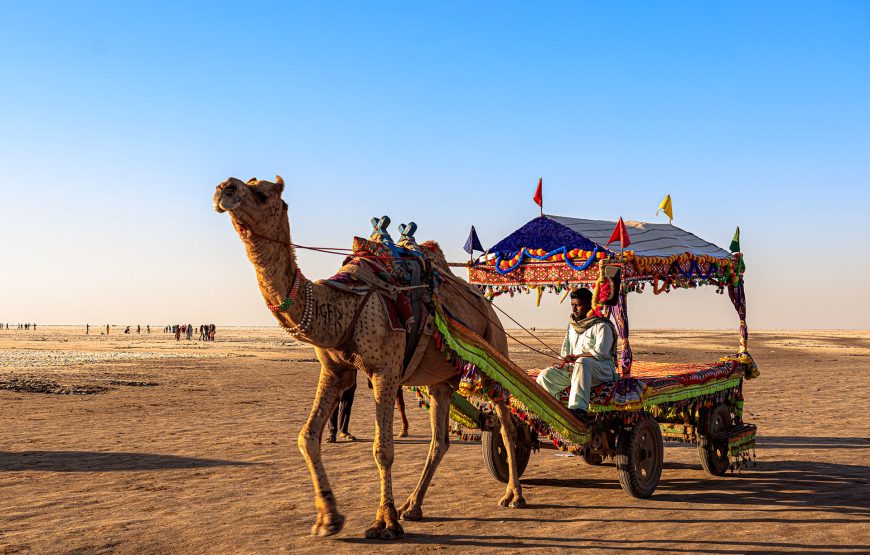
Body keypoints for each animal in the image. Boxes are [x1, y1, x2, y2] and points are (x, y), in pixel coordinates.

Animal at [213, 177, 524, 540]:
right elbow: (307, 436)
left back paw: (513, 495)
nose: (224, 188)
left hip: (493, 351)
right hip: (442, 381)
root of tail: (488, 304)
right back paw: (413, 506)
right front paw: (328, 519)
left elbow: (382, 449)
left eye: (262, 193)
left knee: (506, 424)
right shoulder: (334, 369)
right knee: (440, 440)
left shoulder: (385, 371)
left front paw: (384, 522)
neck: (341, 304)